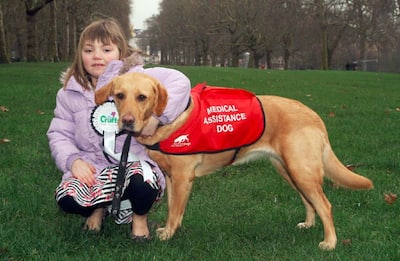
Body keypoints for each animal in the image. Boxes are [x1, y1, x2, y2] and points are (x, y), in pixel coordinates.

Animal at [95, 71, 374, 250]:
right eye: (119, 95)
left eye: (142, 97)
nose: (127, 121)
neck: (167, 121)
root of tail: (315, 115)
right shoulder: (172, 178)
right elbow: (174, 207)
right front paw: (167, 230)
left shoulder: (184, 177)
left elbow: (175, 211)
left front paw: (168, 235)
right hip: (289, 171)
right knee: (310, 201)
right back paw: (308, 224)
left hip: (300, 170)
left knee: (325, 205)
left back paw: (330, 242)